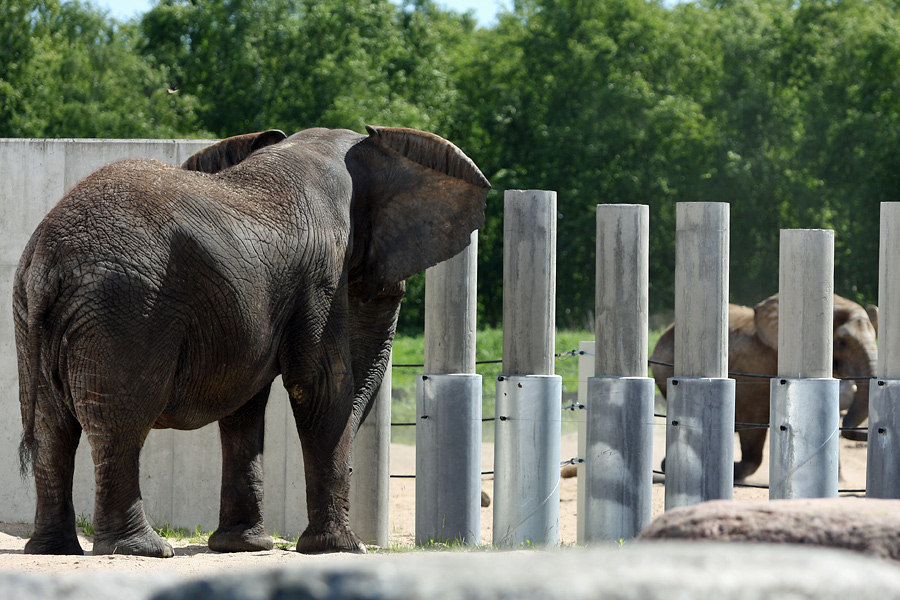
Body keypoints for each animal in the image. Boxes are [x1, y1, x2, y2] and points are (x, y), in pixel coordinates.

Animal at [13, 126, 489, 557]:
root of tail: (50, 260)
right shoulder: (320, 276)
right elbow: (320, 385)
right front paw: (341, 549)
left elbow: (246, 404)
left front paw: (245, 546)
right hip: (126, 307)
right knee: (120, 422)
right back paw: (140, 550)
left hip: (32, 310)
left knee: (53, 428)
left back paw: (54, 550)